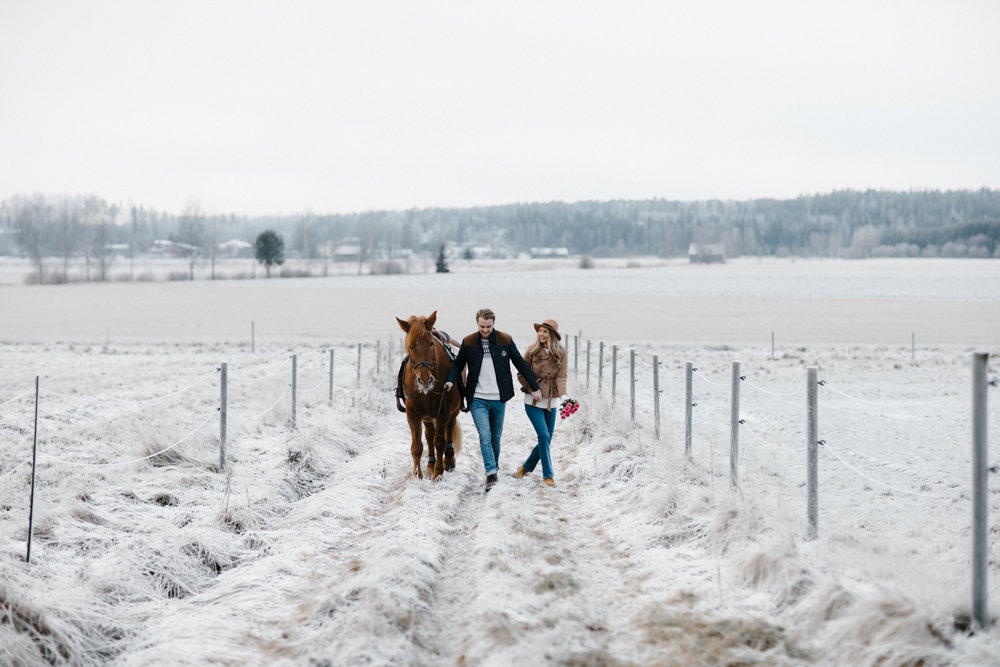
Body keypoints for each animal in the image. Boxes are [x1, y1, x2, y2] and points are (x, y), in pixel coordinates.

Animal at [396, 310, 462, 478]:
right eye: (411, 346)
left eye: (431, 344)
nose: (425, 379)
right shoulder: (413, 414)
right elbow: (417, 445)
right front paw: (417, 476)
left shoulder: (443, 412)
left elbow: (440, 442)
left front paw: (438, 474)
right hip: (427, 417)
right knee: (429, 435)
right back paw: (431, 464)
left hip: (453, 412)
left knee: (449, 429)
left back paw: (448, 461)